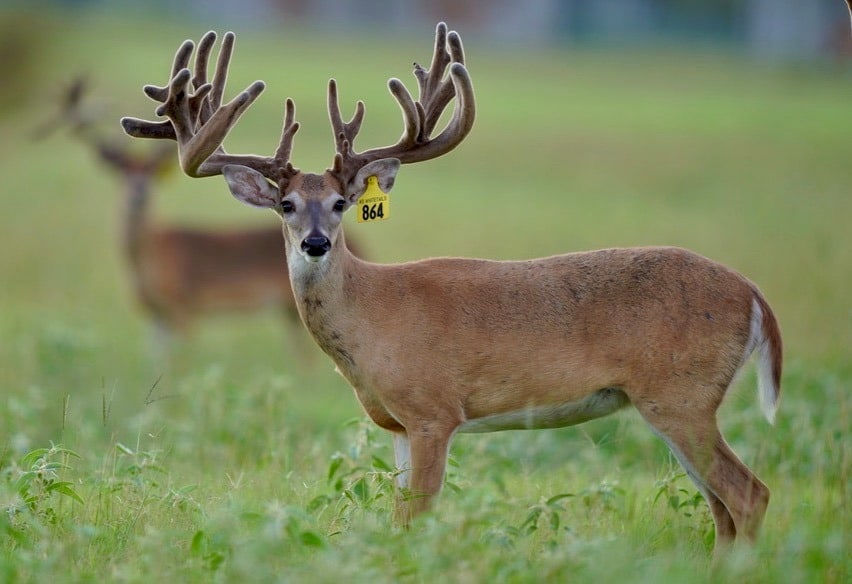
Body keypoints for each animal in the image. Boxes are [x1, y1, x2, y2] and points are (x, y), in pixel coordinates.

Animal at [120, 24, 782, 553]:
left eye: (340, 203)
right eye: (286, 205)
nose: (316, 244)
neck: (372, 314)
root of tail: (755, 296)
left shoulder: (434, 410)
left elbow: (418, 519)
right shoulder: (394, 425)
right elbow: (396, 518)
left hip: (680, 395)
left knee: (749, 495)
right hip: (679, 402)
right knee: (724, 509)